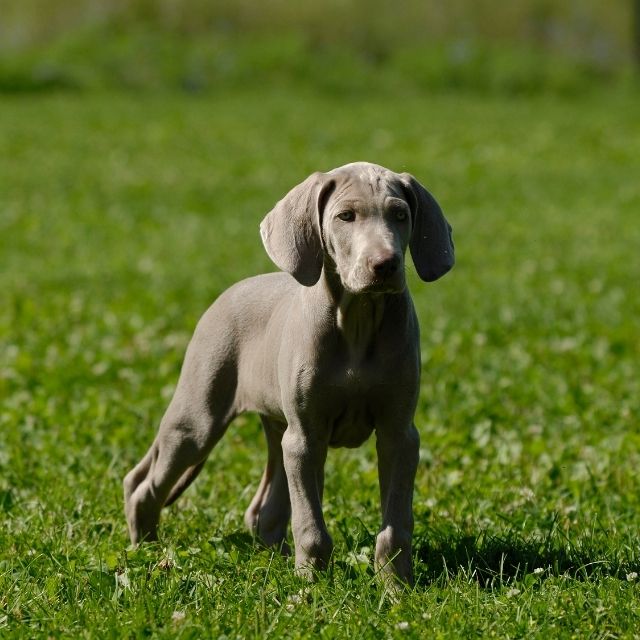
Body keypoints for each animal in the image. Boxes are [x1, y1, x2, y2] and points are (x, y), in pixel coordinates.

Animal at [124, 160, 456, 584]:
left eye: (400, 215)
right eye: (346, 217)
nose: (386, 265)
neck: (358, 320)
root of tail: (227, 293)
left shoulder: (398, 434)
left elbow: (396, 522)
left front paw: (395, 584)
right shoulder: (307, 436)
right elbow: (311, 525)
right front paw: (312, 583)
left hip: (279, 428)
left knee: (262, 510)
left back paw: (275, 559)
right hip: (199, 420)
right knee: (144, 485)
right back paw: (146, 551)